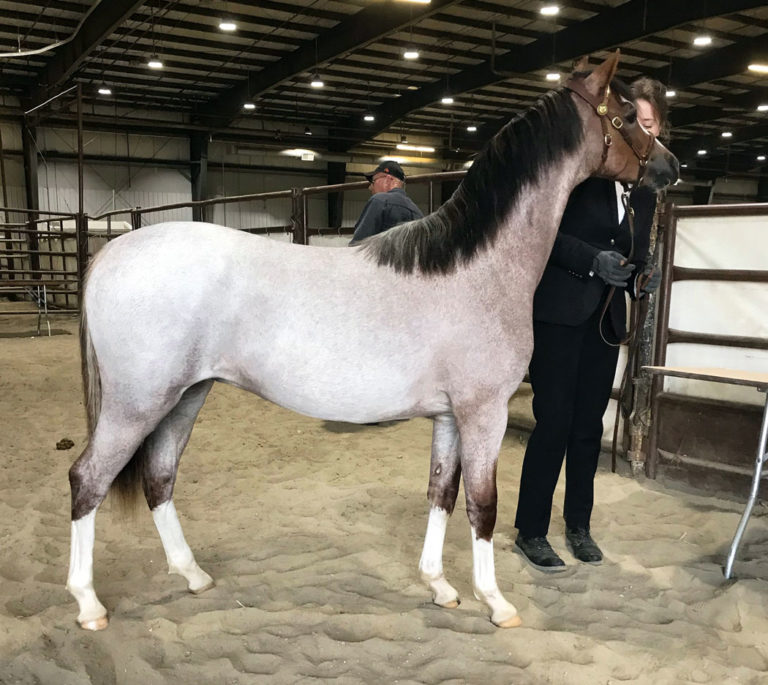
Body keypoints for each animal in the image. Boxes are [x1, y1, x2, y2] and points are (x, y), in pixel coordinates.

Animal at [66, 51, 678, 631]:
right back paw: (89, 604)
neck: (477, 267)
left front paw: (440, 586)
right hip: (137, 403)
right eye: (628, 117)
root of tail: (111, 253)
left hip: (187, 395)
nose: (671, 167)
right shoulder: (485, 413)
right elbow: (482, 505)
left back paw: (193, 575)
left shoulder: (449, 416)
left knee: (159, 476)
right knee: (87, 479)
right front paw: (496, 602)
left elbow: (441, 493)